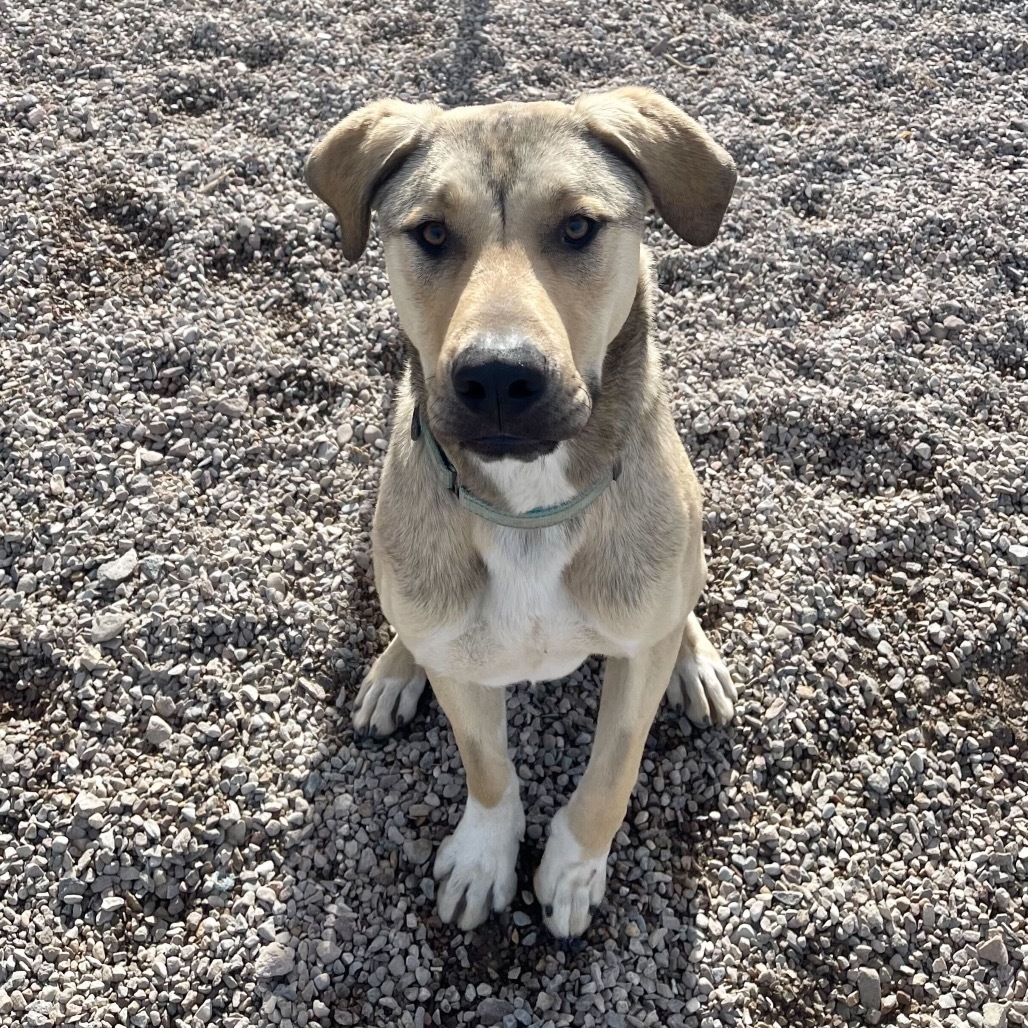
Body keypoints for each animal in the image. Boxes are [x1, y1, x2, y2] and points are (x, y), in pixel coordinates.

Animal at [304, 88, 740, 941]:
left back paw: (694, 659)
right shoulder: (462, 670)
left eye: (577, 227)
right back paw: (395, 667)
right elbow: (487, 768)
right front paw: (483, 858)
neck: (530, 509)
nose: (500, 377)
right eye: (432, 233)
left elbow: (611, 773)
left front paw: (571, 870)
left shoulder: (633, 658)